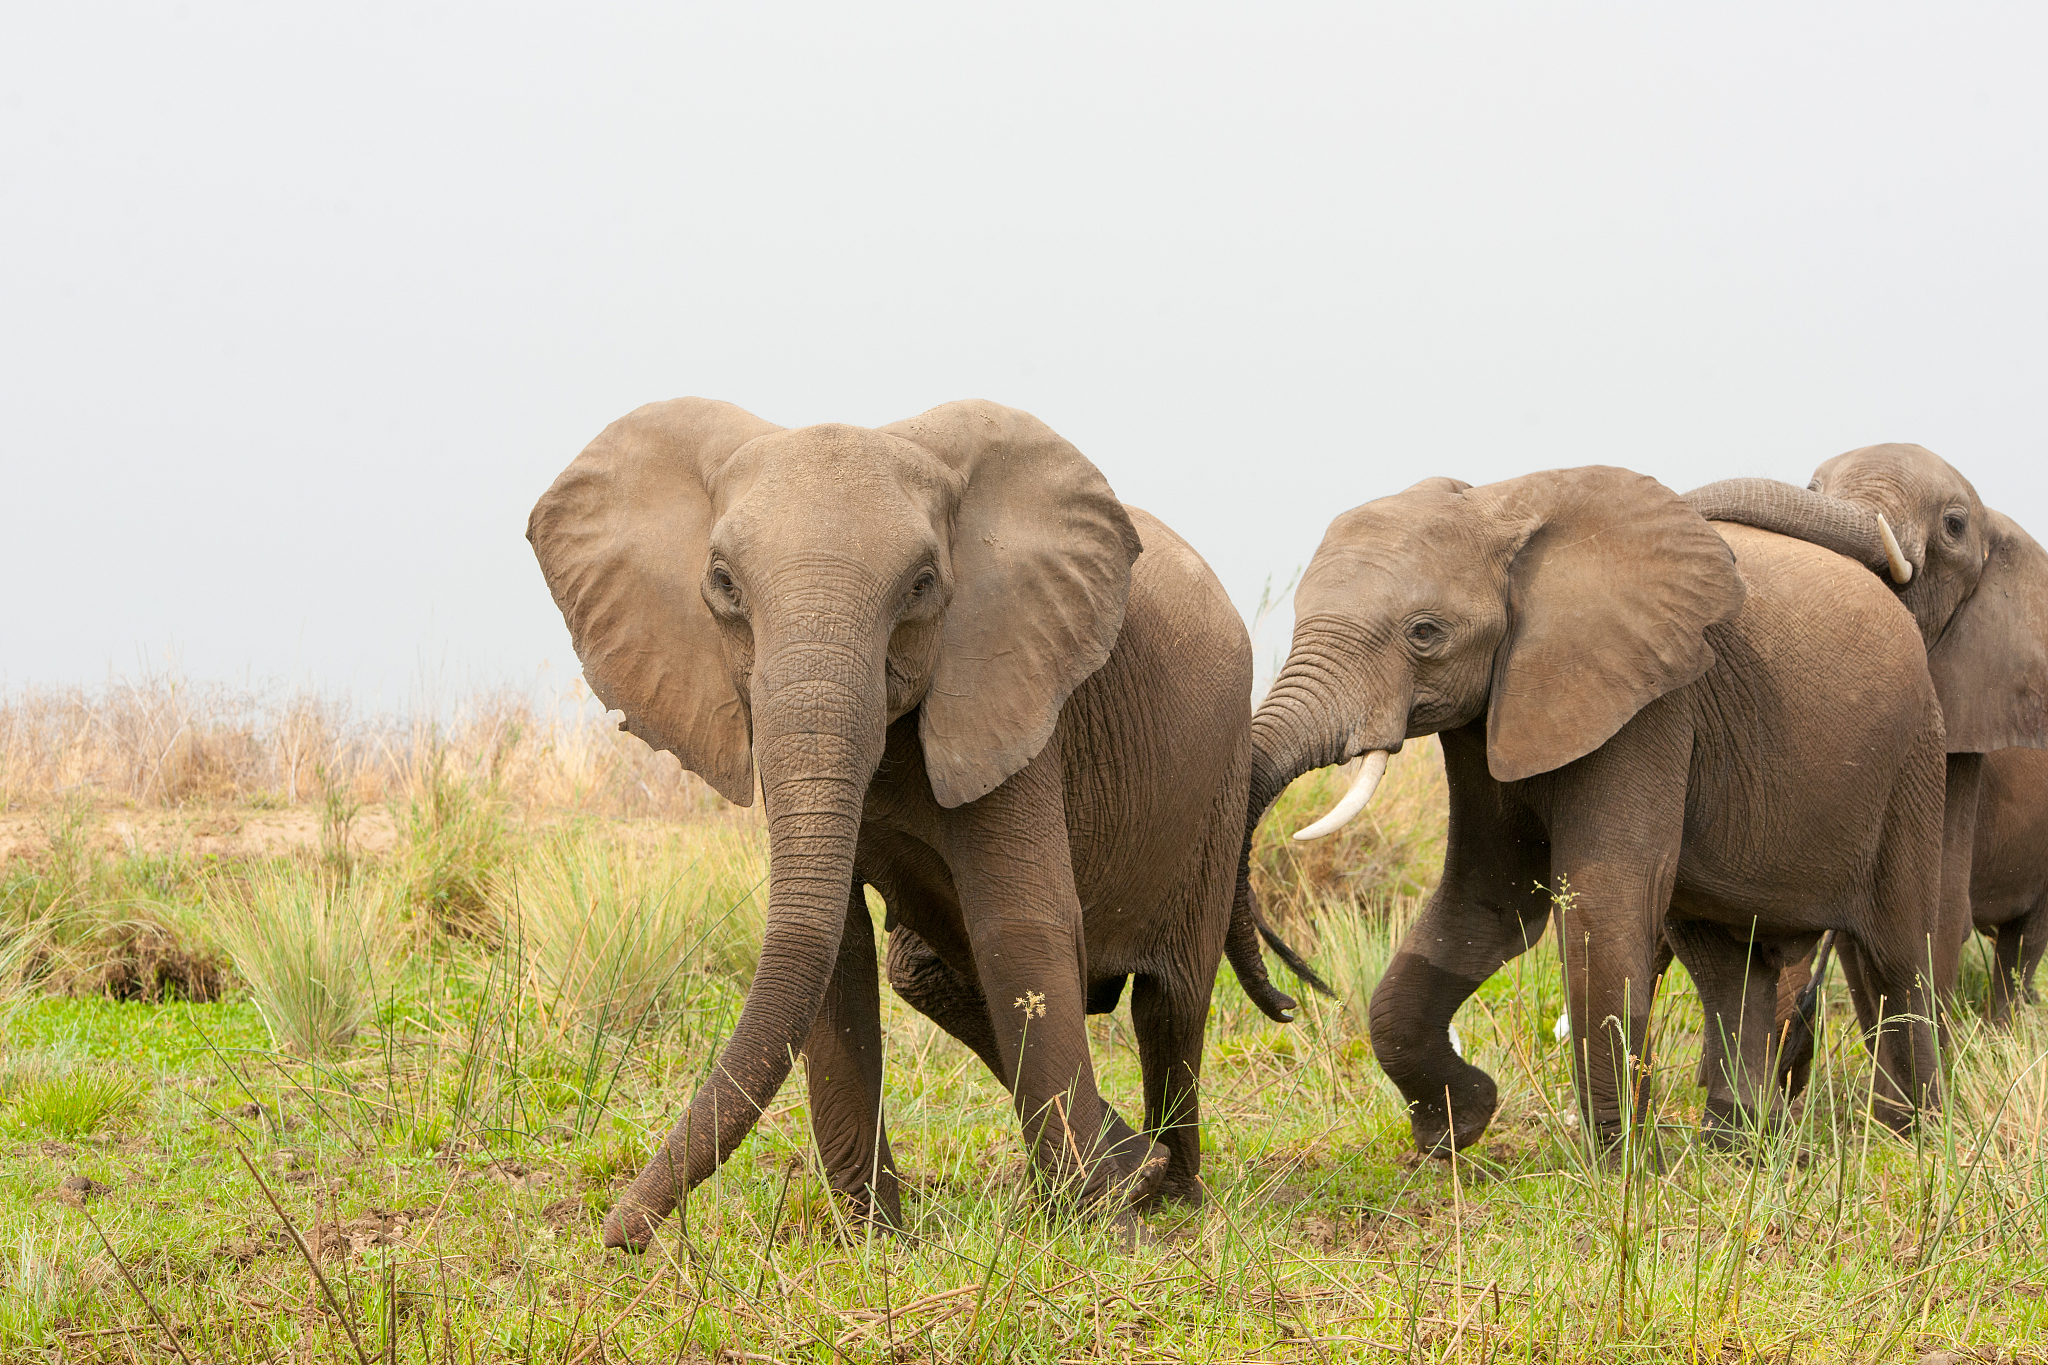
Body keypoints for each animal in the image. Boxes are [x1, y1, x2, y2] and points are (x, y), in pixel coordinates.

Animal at [528, 397, 1302, 1252]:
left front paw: (1101, 1233)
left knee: (1173, 1000)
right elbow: (838, 951)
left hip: (1217, 783)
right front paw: (876, 1243)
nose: (615, 1235)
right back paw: (1140, 1169)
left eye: (923, 584)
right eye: (724, 583)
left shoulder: (1012, 686)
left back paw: (1175, 1195)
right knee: (924, 970)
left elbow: (1021, 930)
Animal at [1249, 466, 1952, 1151]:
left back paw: (1908, 1136)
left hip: (1913, 763)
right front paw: (1456, 1126)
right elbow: (1486, 900)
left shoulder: (1653, 704)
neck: (1503, 509)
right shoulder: (1490, 715)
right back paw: (1737, 1142)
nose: (1293, 1001)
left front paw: (1620, 1165)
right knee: (1726, 964)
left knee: (1896, 956)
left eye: (1425, 633)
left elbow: (1600, 899)